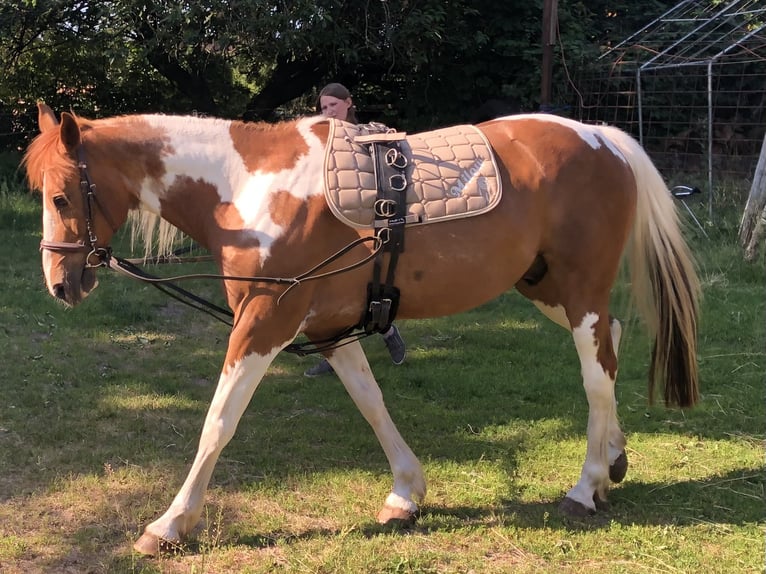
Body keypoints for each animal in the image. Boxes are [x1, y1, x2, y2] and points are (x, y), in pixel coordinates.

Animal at [24, 103, 700, 560]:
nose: (59, 284)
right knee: (612, 341)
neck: (248, 189)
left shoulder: (265, 323)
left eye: (61, 197)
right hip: (546, 288)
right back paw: (612, 460)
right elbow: (371, 403)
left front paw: (169, 524)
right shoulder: (329, 328)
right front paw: (406, 493)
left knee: (597, 374)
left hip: (577, 290)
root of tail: (603, 138)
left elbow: (218, 422)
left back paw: (585, 487)